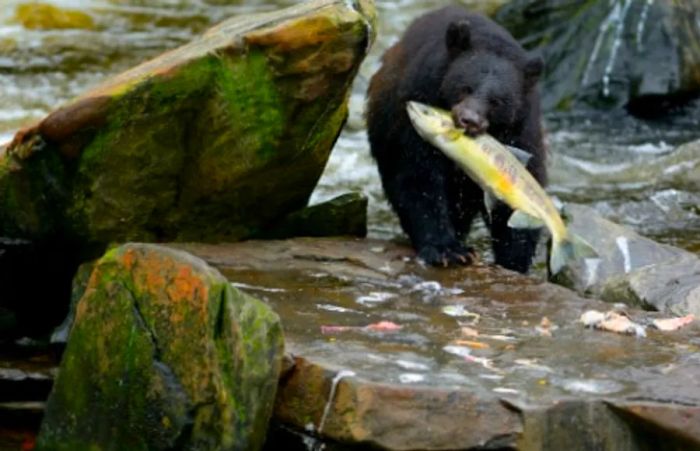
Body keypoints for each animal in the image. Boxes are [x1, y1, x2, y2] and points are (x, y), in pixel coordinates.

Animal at [366, 7, 548, 274]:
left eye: (497, 101)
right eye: (465, 87)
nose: (469, 119)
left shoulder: (522, 132)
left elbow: (519, 193)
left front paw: (513, 261)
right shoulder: (412, 108)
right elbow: (418, 176)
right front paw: (448, 250)